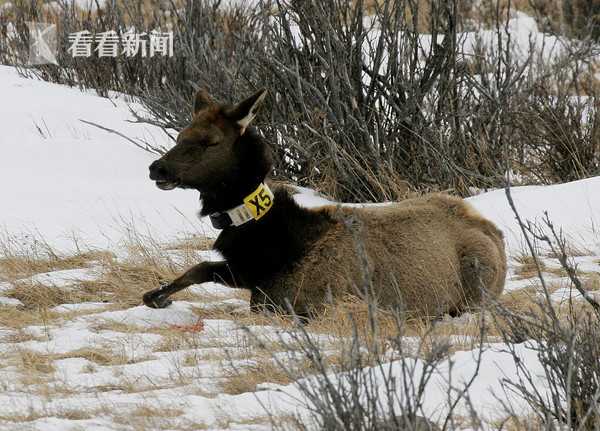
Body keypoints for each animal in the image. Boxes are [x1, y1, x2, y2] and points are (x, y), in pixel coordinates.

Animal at [144, 88, 506, 318]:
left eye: (210, 141)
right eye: (180, 134)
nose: (156, 168)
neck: (276, 248)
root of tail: (495, 232)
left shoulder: (305, 303)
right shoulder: (250, 278)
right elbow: (200, 267)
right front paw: (155, 296)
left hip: (477, 289)